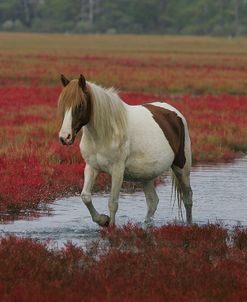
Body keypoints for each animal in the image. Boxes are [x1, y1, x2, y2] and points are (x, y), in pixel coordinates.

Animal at [58, 75, 193, 226]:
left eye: (80, 105)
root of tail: (175, 114)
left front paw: (111, 227)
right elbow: (85, 196)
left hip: (182, 167)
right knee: (153, 201)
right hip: (146, 175)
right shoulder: (92, 167)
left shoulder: (118, 170)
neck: (104, 134)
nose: (64, 137)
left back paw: (189, 225)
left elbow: (112, 203)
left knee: (187, 197)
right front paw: (103, 220)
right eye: (63, 105)